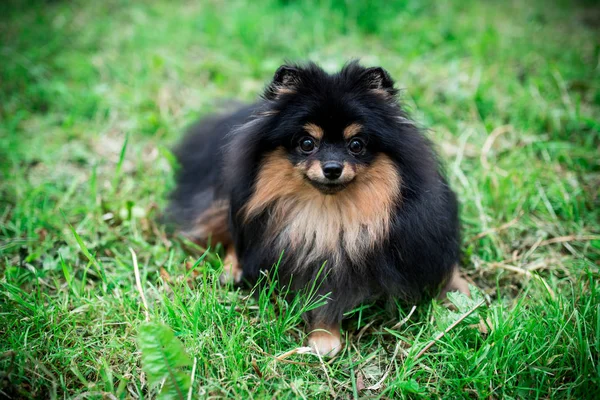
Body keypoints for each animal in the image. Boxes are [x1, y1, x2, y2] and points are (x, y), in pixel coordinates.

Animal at [165, 61, 468, 356]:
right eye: (307, 143)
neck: (330, 214)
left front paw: (464, 294)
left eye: (356, 145)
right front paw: (324, 336)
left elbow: (446, 271)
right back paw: (231, 268)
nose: (332, 168)